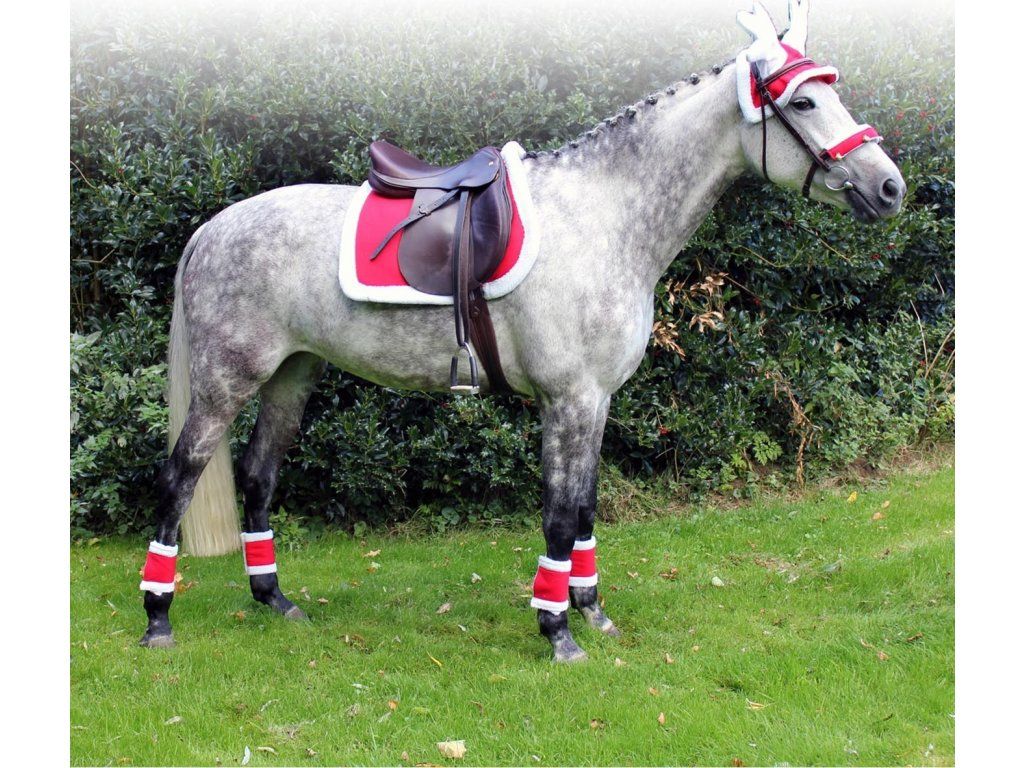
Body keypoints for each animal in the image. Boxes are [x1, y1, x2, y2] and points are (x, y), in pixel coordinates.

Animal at [138, 0, 905, 662]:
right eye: (803, 101)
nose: (890, 187)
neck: (604, 215)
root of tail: (211, 229)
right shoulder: (568, 398)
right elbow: (561, 515)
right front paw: (558, 631)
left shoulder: (597, 401)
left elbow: (587, 507)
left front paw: (592, 612)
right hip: (226, 380)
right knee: (179, 477)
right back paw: (157, 618)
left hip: (291, 375)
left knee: (258, 475)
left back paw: (274, 600)